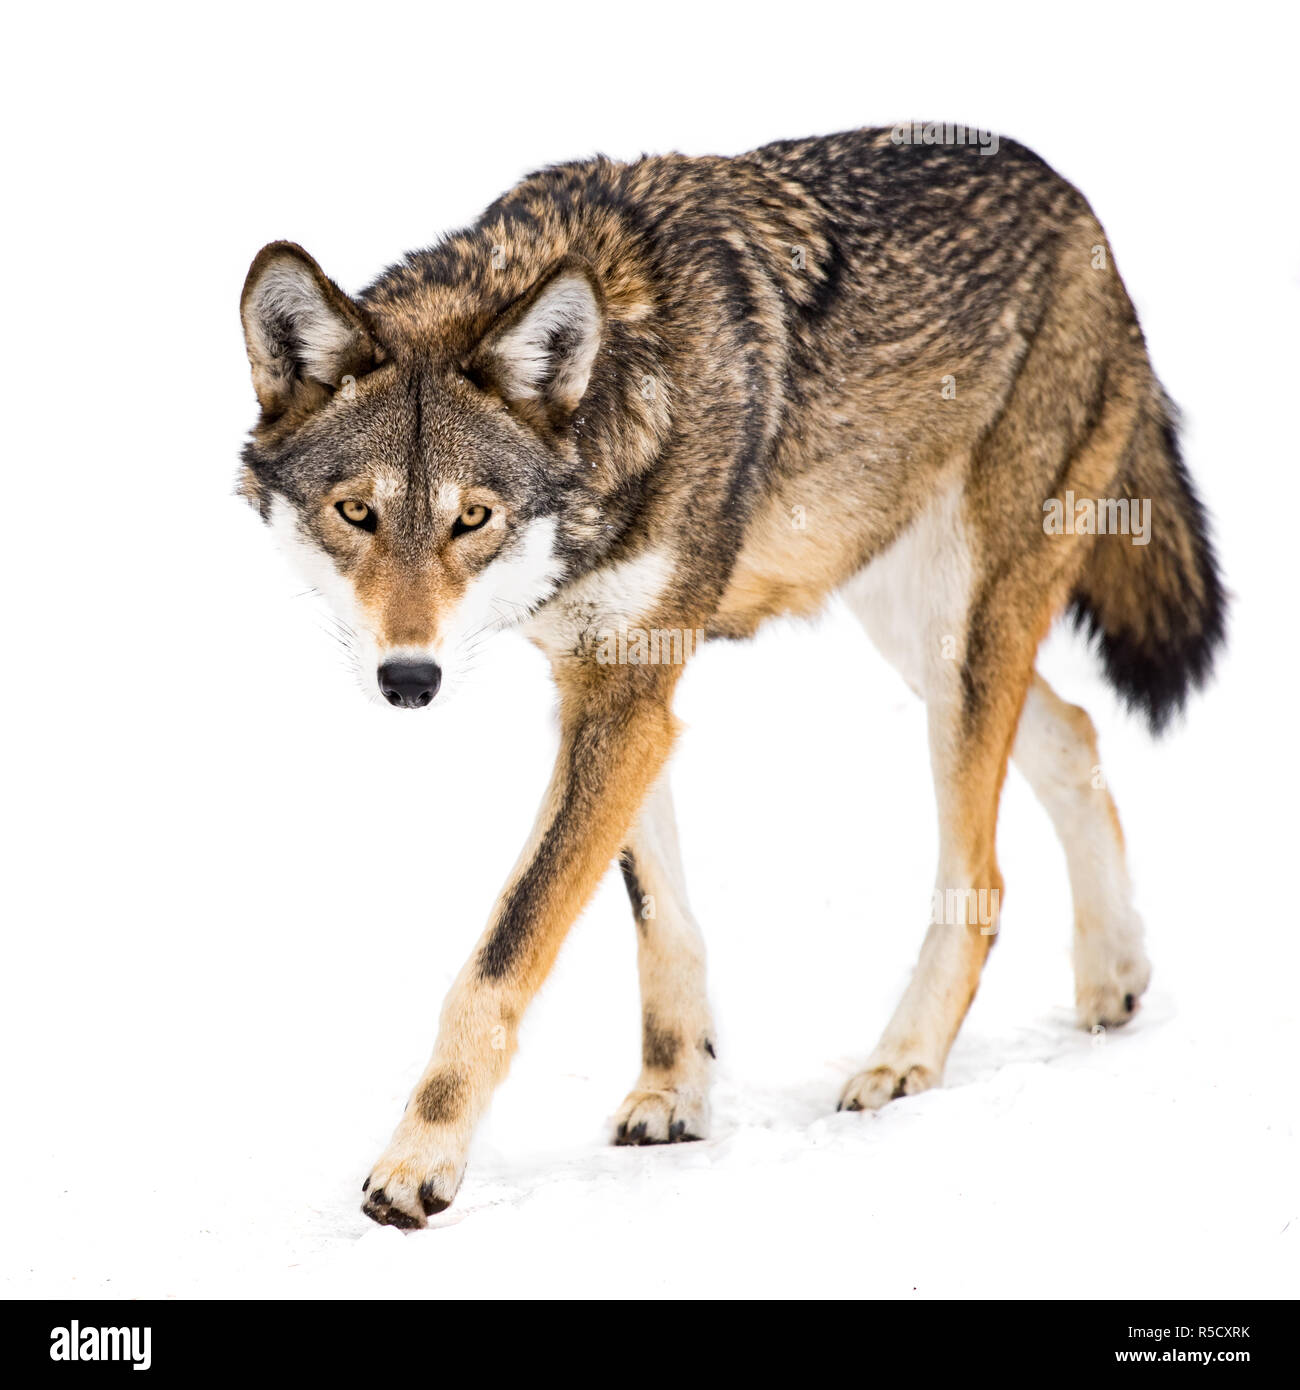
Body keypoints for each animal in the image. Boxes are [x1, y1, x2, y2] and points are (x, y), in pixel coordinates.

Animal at [237, 127, 1225, 1229]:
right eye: (357, 514)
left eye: (471, 519)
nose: (409, 678)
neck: (621, 388)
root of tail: (1075, 201)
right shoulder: (612, 690)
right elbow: (659, 919)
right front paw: (676, 1091)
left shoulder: (626, 697)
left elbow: (505, 951)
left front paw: (418, 1163)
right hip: (920, 637)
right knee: (1075, 729)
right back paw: (1112, 976)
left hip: (960, 634)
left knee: (982, 872)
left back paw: (903, 1061)